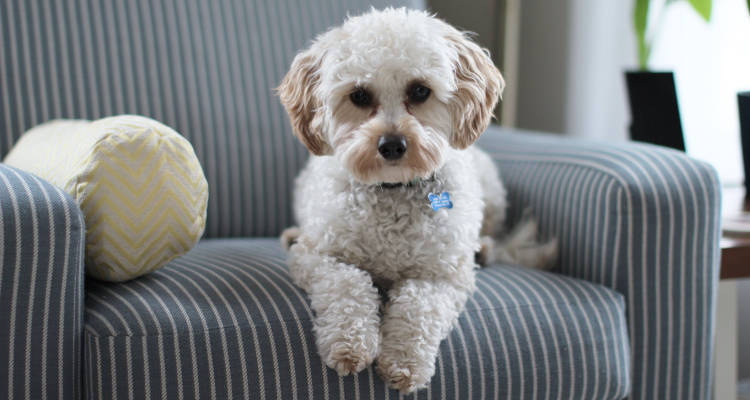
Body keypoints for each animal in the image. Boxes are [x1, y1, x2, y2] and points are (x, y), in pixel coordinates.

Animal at [278, 7, 560, 392]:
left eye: (420, 90)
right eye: (359, 96)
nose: (392, 145)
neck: (392, 189)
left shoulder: (441, 275)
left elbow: (418, 307)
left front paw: (404, 362)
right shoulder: (319, 257)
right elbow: (348, 285)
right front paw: (350, 344)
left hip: (491, 190)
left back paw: (484, 249)